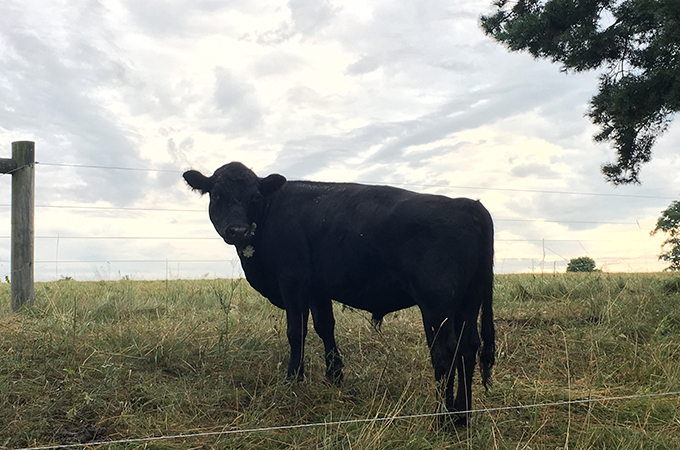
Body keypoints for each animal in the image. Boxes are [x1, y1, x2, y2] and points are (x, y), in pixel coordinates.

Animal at [183, 162, 495, 425]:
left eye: (254, 196)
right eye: (217, 195)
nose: (237, 230)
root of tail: (468, 205)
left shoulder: (292, 282)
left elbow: (296, 332)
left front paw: (293, 379)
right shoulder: (317, 289)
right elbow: (325, 327)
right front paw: (333, 377)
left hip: (436, 303)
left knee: (445, 351)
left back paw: (443, 418)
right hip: (466, 303)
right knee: (468, 347)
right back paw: (462, 415)